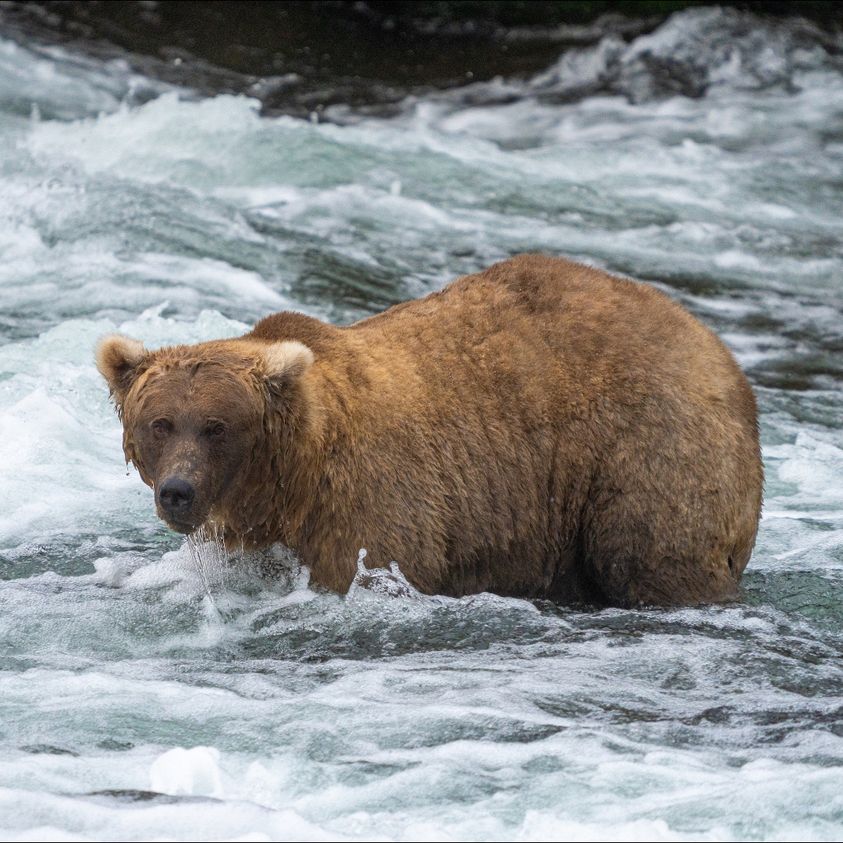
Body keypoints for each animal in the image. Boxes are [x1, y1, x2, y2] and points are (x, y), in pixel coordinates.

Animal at [97, 256, 764, 608]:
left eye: (217, 426)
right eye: (160, 424)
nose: (178, 491)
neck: (290, 481)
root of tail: (718, 350)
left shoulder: (371, 504)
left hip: (647, 449)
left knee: (651, 553)